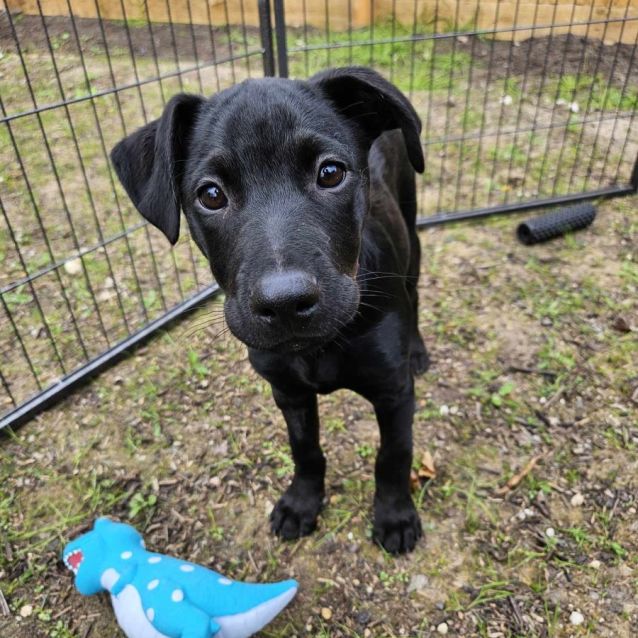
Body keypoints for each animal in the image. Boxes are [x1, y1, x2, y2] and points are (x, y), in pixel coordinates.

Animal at [111, 66, 430, 556]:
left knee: (415, 294)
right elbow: (306, 451)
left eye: (331, 172)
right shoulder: (288, 392)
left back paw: (417, 349)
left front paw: (395, 516)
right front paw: (302, 503)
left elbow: (393, 455)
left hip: (411, 235)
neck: (321, 347)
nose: (284, 303)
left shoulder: (394, 393)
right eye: (211, 195)